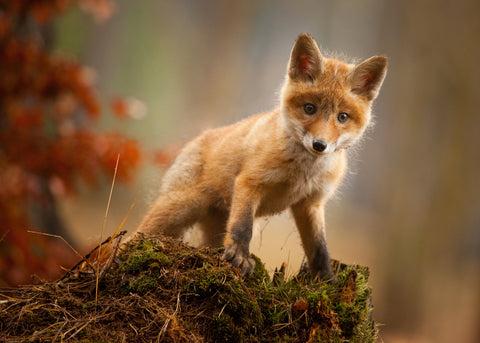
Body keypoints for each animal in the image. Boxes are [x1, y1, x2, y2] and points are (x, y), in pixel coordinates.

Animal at [133, 33, 388, 280]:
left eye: (342, 117)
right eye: (309, 108)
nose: (319, 145)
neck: (302, 172)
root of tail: (197, 138)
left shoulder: (311, 203)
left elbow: (319, 248)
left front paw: (326, 280)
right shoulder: (250, 182)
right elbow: (243, 227)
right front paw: (240, 257)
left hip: (212, 226)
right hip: (177, 209)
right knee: (136, 235)